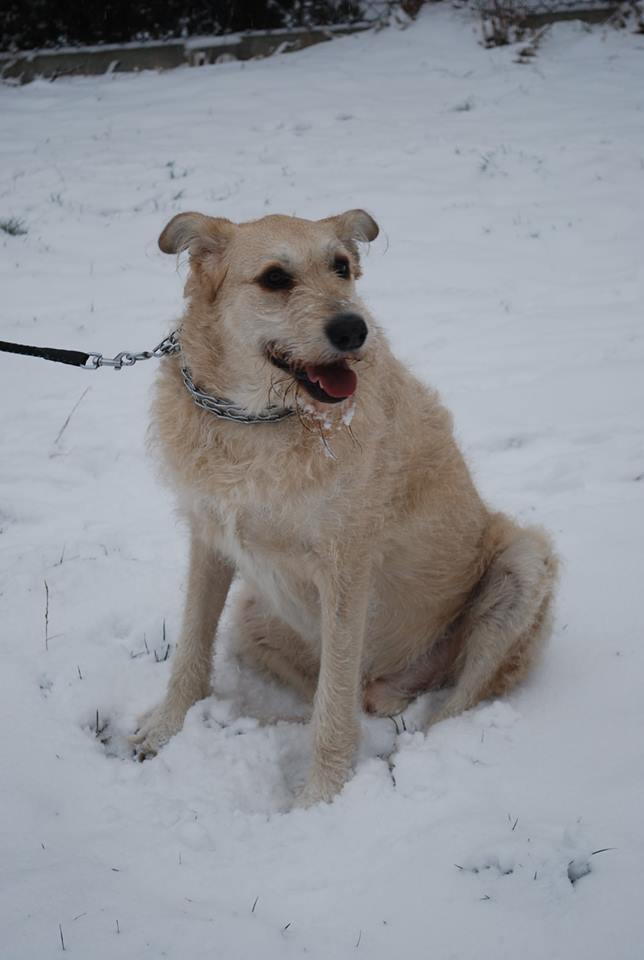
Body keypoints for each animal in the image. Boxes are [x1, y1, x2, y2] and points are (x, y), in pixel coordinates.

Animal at [130, 209, 558, 806]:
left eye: (342, 268)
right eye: (274, 278)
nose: (354, 330)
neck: (260, 421)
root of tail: (400, 682)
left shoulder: (346, 568)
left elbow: (332, 703)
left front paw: (321, 798)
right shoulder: (210, 539)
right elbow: (192, 648)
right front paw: (167, 728)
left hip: (523, 563)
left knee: (450, 703)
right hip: (255, 616)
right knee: (348, 694)